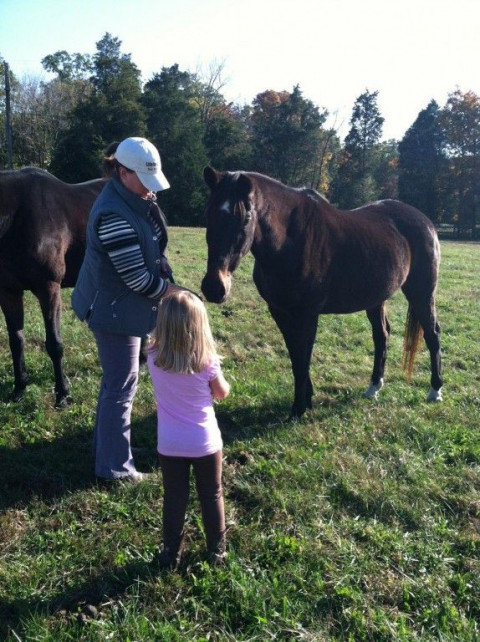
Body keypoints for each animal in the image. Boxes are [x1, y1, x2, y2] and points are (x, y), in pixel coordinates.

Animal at [0, 166, 106, 404]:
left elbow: (54, 344)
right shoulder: (9, 292)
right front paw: (19, 388)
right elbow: (16, 340)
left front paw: (62, 394)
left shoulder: (48, 288)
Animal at [200, 166, 442, 416]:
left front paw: (299, 407)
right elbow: (295, 356)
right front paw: (306, 398)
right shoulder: (280, 312)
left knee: (432, 333)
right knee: (381, 335)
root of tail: (425, 221)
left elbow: (303, 357)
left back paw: (435, 391)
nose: (214, 287)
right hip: (376, 298)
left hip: (422, 292)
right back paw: (374, 387)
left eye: (245, 217)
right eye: (208, 213)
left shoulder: (307, 315)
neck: (288, 241)